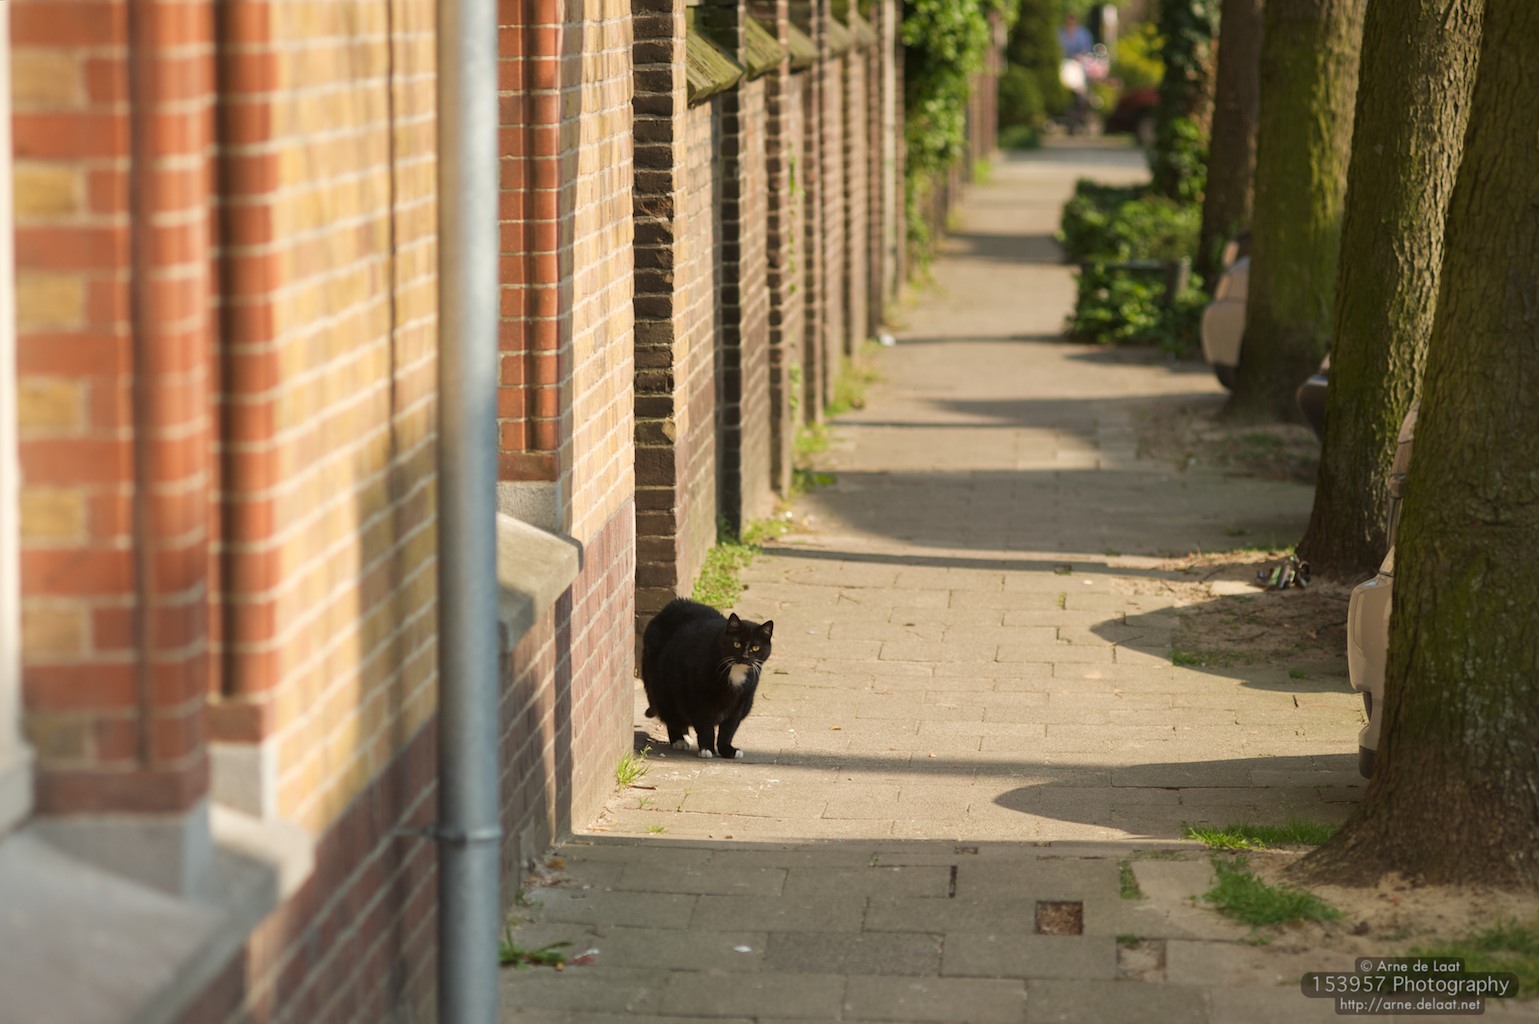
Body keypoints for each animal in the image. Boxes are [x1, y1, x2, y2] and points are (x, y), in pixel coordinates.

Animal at [641, 597, 774, 760]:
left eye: (756, 648)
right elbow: (705, 725)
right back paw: (679, 740)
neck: (734, 672)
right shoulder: (699, 699)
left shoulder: (740, 703)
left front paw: (727, 750)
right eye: (736, 644)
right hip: (664, 687)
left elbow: (729, 729)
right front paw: (706, 749)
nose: (745, 656)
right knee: (671, 714)